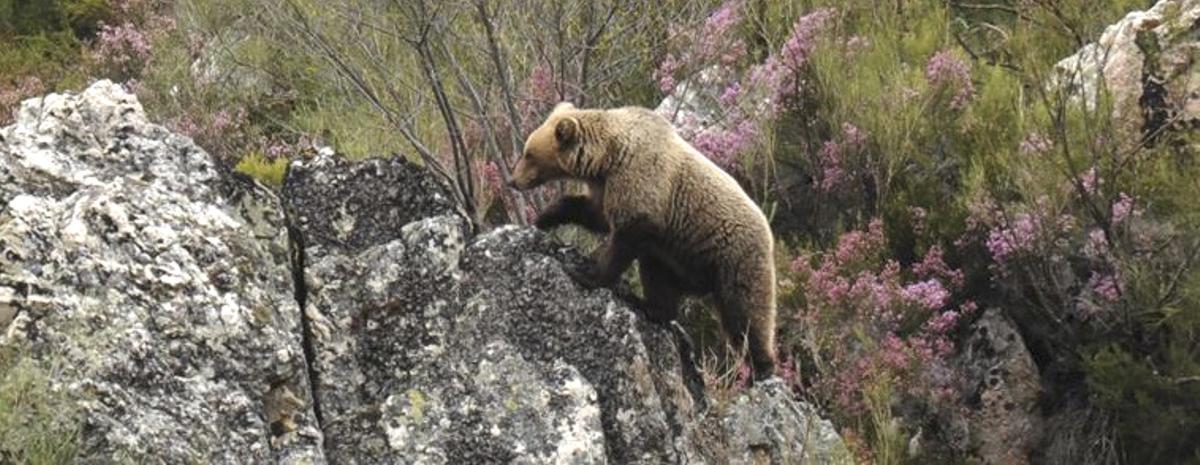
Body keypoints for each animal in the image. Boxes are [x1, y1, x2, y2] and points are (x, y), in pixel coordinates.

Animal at [506, 102, 777, 381]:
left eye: (528, 154)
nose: (512, 181)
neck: (607, 158)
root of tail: (768, 230)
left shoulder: (640, 183)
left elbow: (624, 238)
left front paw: (585, 273)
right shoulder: (607, 187)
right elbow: (594, 214)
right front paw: (545, 217)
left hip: (734, 256)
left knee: (746, 310)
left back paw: (762, 367)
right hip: (677, 261)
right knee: (658, 276)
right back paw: (649, 307)